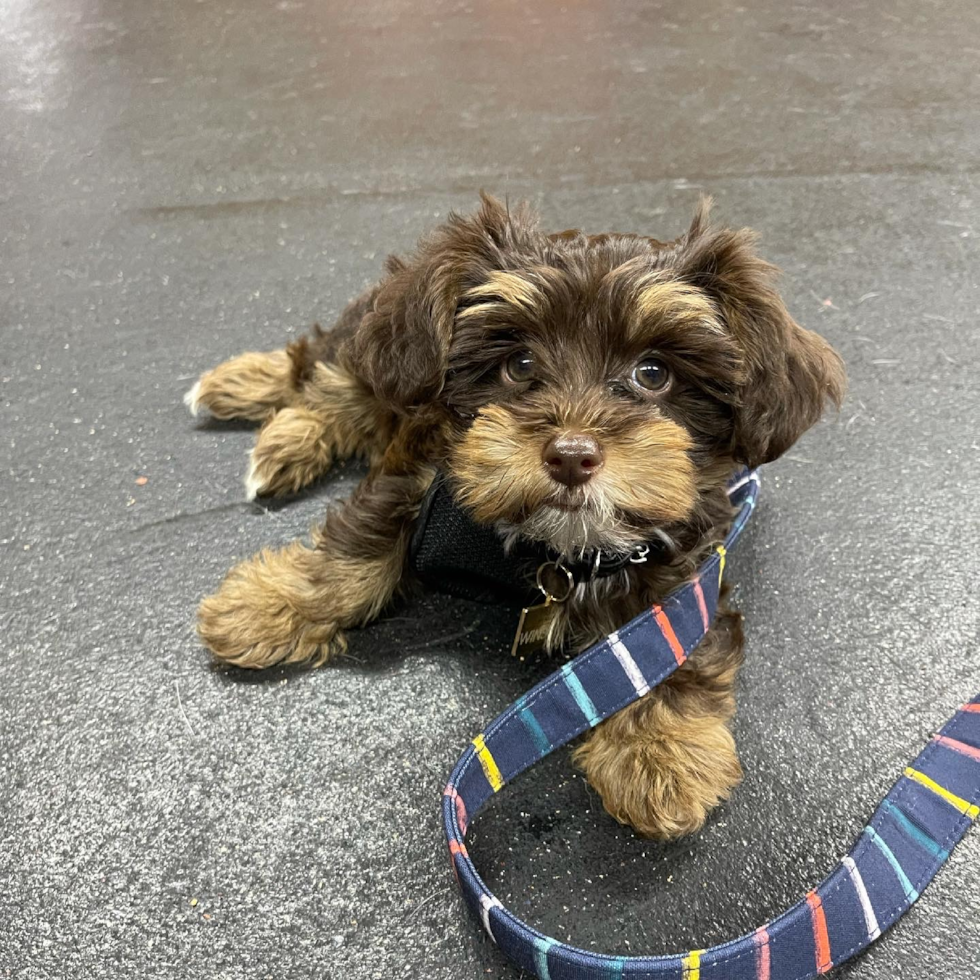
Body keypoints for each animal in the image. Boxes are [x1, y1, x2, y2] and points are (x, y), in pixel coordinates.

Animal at [188, 193, 848, 844]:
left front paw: (660, 749)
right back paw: (260, 406)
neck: (556, 548)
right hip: (385, 352)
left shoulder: (681, 553)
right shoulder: (420, 469)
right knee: (329, 370)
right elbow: (358, 549)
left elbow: (666, 633)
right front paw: (269, 606)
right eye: (521, 364)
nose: (572, 456)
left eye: (654, 373)